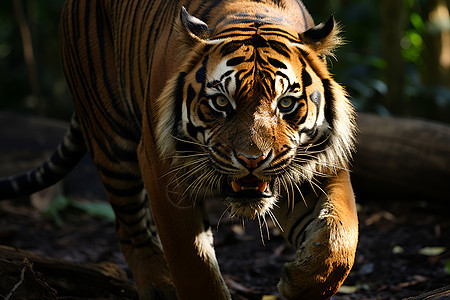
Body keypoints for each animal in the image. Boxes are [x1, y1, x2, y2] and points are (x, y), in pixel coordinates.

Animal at [0, 0, 358, 298]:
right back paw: (159, 288)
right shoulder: (162, 169)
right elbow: (193, 265)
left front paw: (298, 283)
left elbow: (340, 239)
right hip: (111, 141)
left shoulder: (320, 163)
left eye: (285, 104)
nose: (251, 160)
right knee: (129, 227)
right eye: (220, 103)